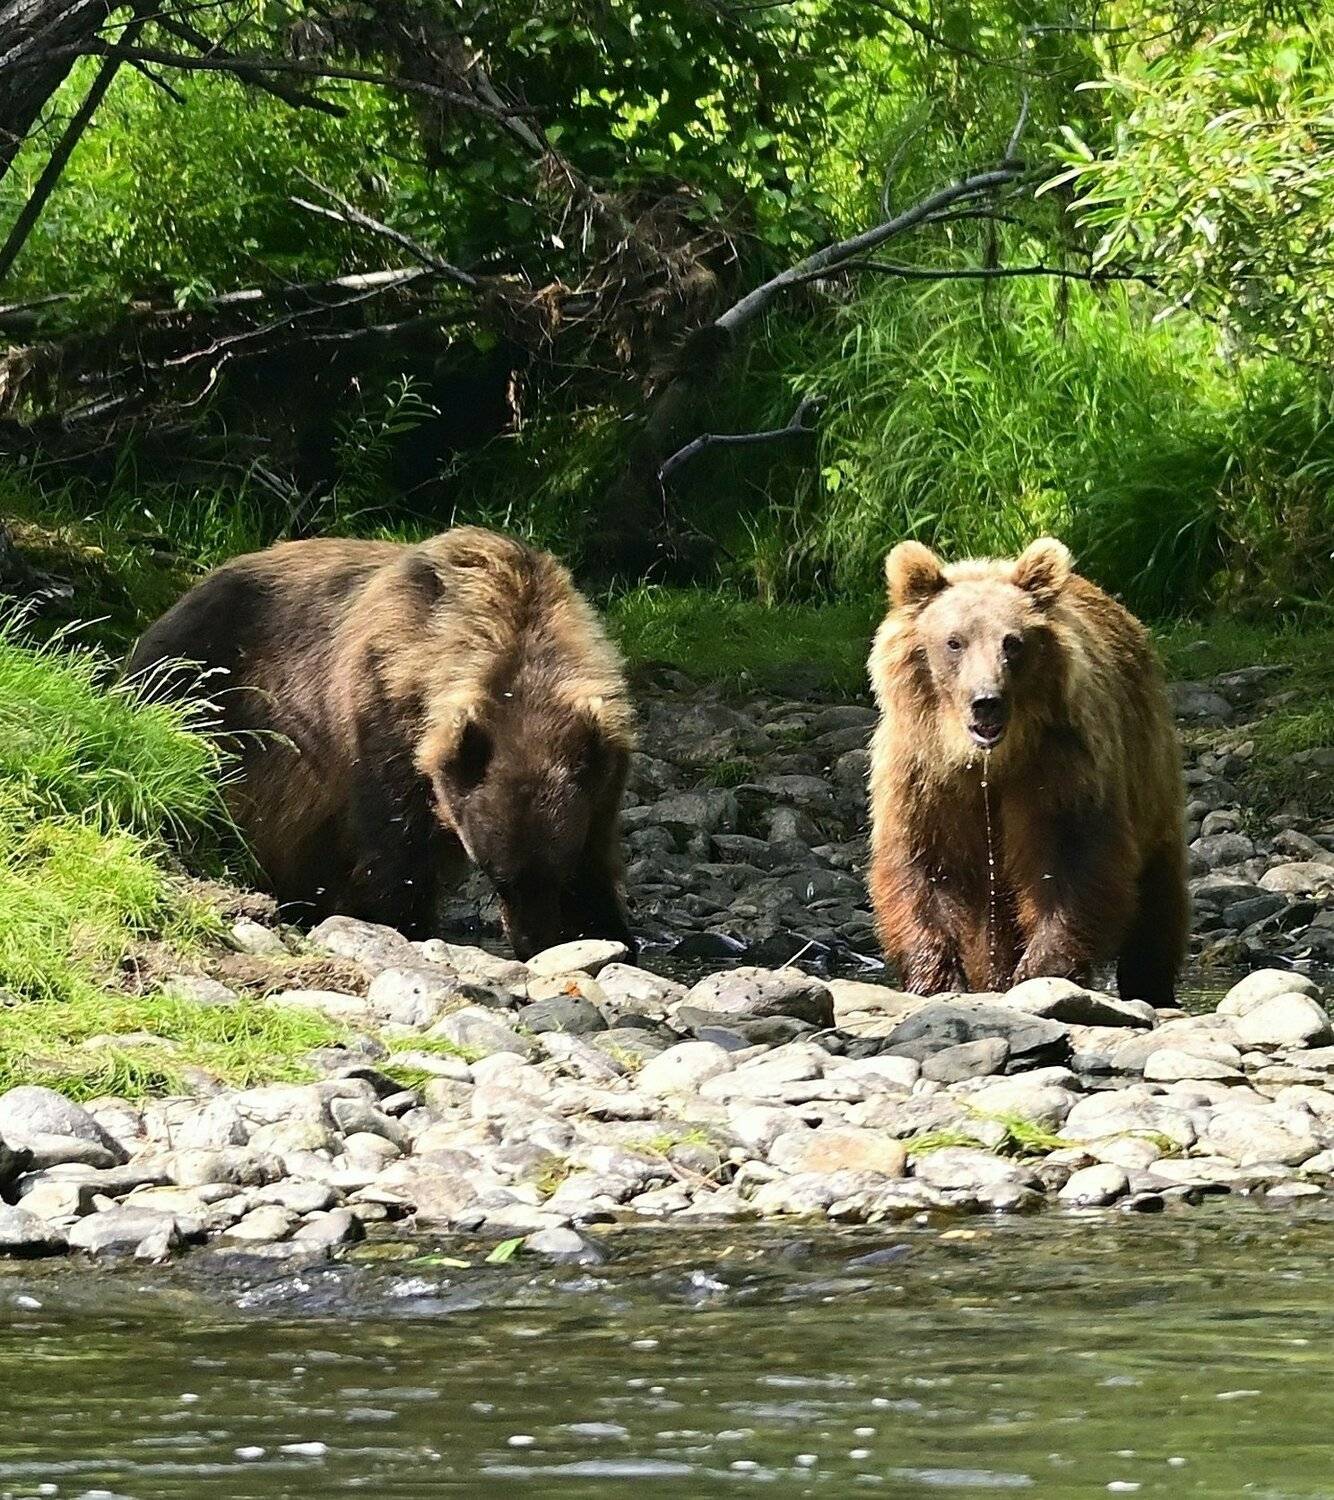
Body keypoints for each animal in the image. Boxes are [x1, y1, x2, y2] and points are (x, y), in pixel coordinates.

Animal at [126, 526, 637, 960]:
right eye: (496, 875)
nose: (533, 942)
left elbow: (596, 856)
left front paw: (606, 931)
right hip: (205, 697)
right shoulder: (380, 716)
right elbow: (395, 847)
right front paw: (406, 925)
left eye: (554, 872)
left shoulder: (603, 773)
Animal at [866, 536, 1187, 1004]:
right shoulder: (925, 781)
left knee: (1158, 893)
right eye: (954, 642)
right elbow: (922, 868)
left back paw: (1150, 980)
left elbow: (1071, 861)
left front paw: (1041, 972)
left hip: (1149, 770)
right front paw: (937, 980)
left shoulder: (1061, 769)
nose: (986, 702)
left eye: (1012, 642)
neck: (988, 762)